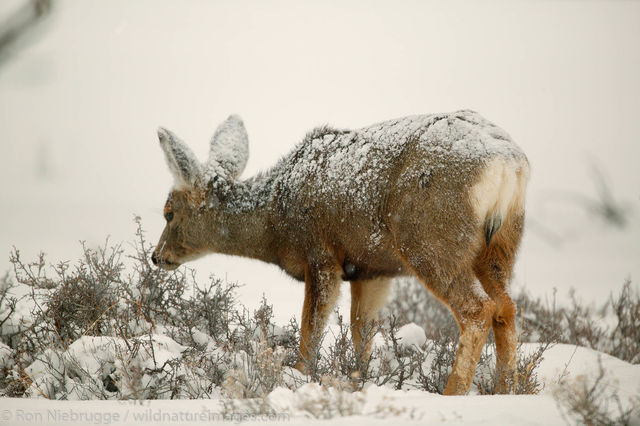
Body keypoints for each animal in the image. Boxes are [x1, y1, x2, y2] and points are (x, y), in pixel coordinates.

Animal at [151, 110, 529, 395]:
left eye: (169, 212)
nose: (157, 257)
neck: (276, 221)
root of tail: (508, 162)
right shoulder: (370, 269)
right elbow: (361, 333)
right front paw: (360, 380)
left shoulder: (320, 254)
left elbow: (311, 333)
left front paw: (300, 378)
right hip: (500, 245)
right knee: (506, 308)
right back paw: (505, 390)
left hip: (431, 239)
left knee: (477, 309)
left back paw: (453, 392)